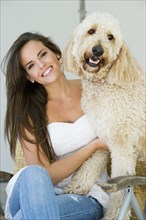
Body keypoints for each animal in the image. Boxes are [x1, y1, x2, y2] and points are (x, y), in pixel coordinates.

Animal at [63, 12, 146, 220]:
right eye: (91, 31)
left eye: (111, 37)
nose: (98, 50)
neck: (105, 84)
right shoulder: (103, 135)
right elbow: (91, 162)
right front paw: (78, 185)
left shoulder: (123, 145)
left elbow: (120, 191)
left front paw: (114, 215)